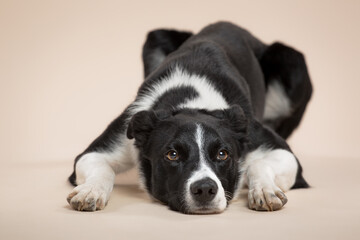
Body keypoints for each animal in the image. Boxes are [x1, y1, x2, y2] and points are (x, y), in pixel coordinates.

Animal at [67, 21, 312, 214]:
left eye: (223, 154)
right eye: (172, 155)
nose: (204, 189)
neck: (191, 102)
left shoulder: (277, 149)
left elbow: (258, 164)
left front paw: (264, 190)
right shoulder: (111, 140)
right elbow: (101, 167)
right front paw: (90, 191)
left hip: (292, 60)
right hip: (156, 36)